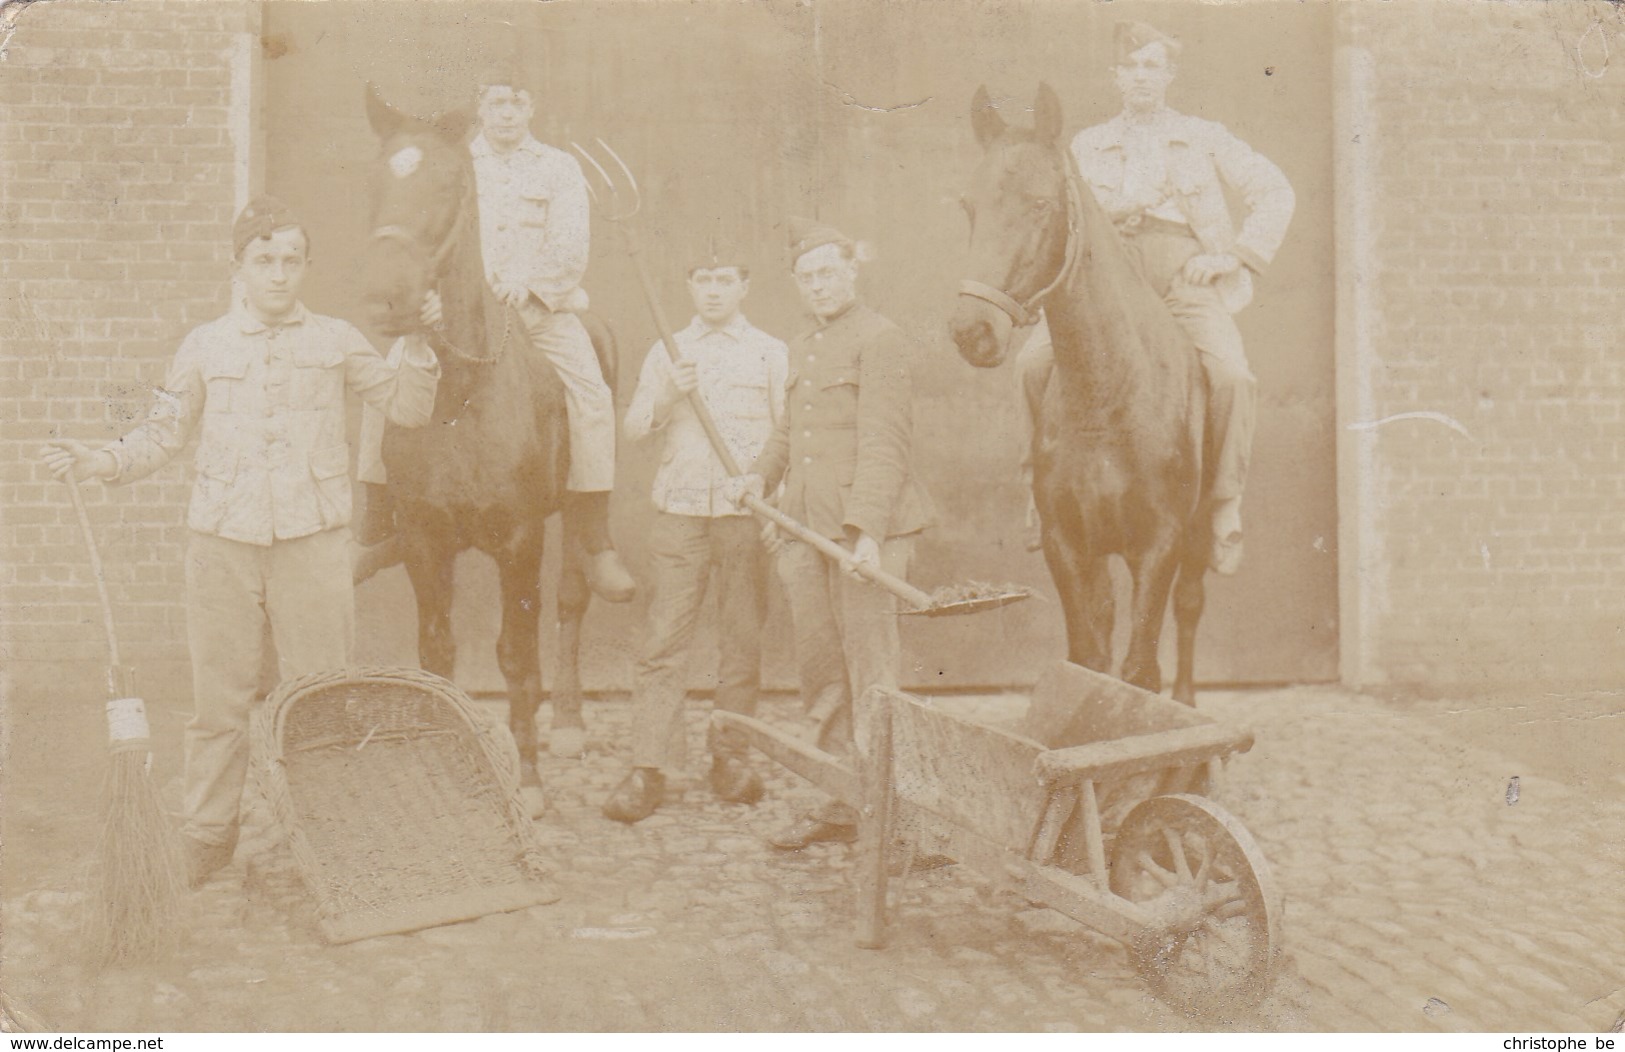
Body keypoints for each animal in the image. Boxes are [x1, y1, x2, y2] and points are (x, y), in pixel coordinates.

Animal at [357, 86, 614, 773]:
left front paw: (526, 770)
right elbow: (437, 653)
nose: (387, 297)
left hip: (571, 513)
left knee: (573, 599)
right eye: (376, 178)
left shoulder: (520, 540)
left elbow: (516, 655)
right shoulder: (424, 541)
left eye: (449, 183)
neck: (460, 394)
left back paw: (570, 721)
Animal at [949, 84, 1209, 708]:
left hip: (1200, 533)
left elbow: (1140, 670)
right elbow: (1089, 659)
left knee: (1190, 609)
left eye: (1041, 205)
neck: (1109, 394)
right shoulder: (1067, 547)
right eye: (970, 206)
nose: (971, 330)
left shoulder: (1160, 546)